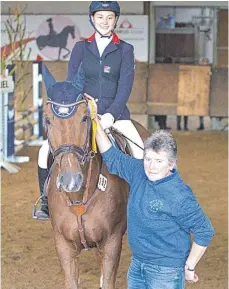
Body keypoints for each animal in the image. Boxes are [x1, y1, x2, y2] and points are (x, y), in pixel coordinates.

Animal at [41, 64, 149, 286]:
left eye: (85, 117)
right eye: (47, 120)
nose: (70, 180)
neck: (79, 197)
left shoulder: (111, 243)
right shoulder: (64, 246)